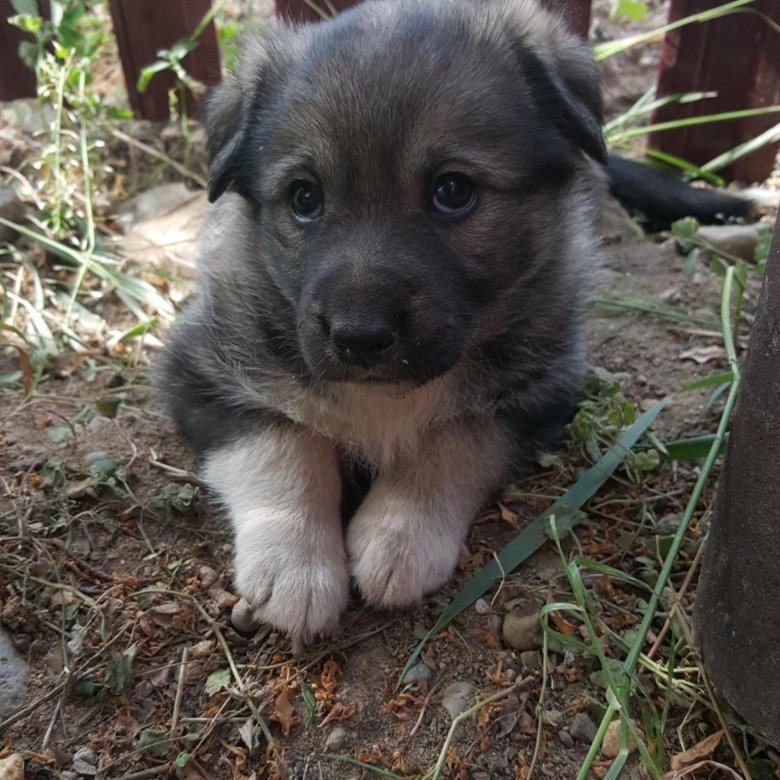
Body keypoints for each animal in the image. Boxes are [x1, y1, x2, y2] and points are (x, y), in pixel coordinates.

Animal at [158, 0, 608, 644]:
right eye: (304, 198)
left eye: (453, 190)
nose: (359, 338)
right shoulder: (200, 370)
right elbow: (284, 441)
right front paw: (296, 565)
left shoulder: (538, 389)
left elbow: (451, 440)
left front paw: (400, 534)